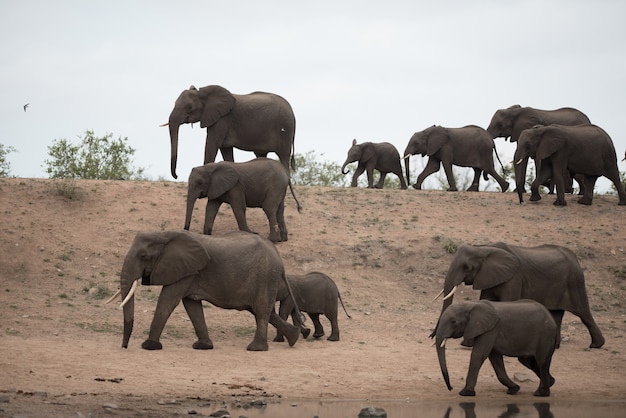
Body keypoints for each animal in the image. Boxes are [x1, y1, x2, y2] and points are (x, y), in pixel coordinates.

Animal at [106, 230, 302, 352]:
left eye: (144, 256)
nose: (124, 347)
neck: (165, 234)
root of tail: (280, 259)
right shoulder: (189, 271)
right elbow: (191, 305)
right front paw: (203, 346)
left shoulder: (186, 271)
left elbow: (168, 300)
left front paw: (149, 346)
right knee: (263, 311)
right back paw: (294, 337)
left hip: (266, 276)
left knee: (261, 310)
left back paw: (255, 348)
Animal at [163, 85, 294, 180]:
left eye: (189, 107)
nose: (176, 176)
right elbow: (225, 149)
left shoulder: (222, 119)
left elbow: (212, 144)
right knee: (261, 155)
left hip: (285, 129)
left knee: (283, 157)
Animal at [432, 242, 604, 350]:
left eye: (467, 267)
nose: (431, 336)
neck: (484, 248)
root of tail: (575, 257)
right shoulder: (490, 277)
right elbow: (486, 301)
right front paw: (469, 343)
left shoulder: (513, 278)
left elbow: (507, 302)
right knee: (556, 314)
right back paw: (554, 346)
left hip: (575, 281)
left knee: (584, 313)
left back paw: (596, 345)